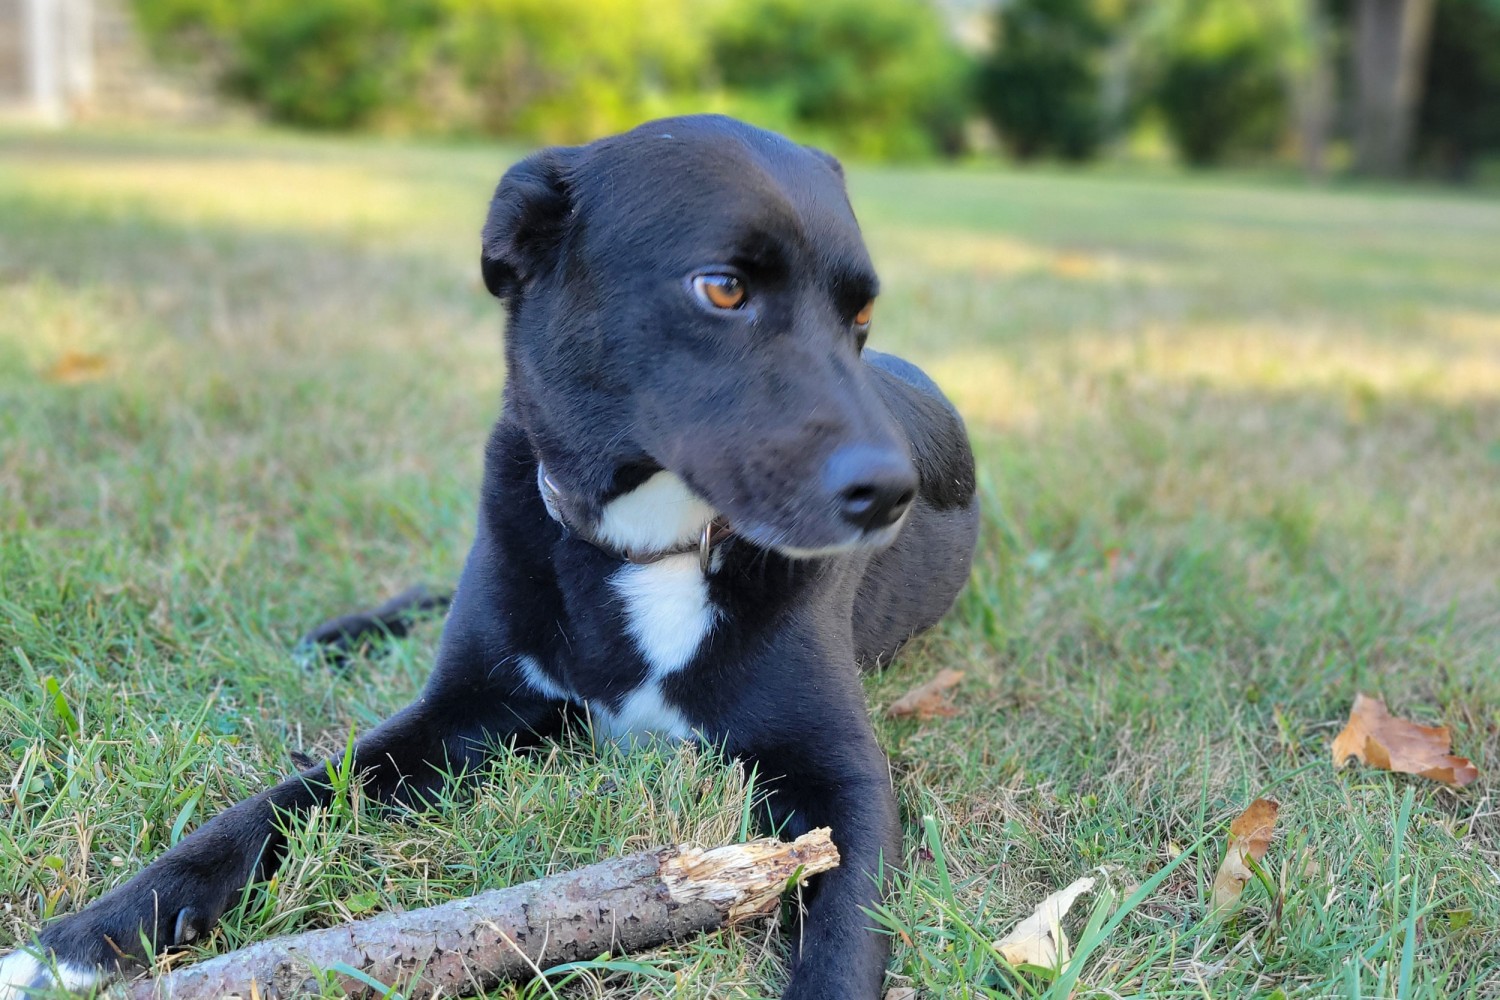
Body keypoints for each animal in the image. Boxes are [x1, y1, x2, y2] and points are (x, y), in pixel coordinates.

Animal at [0, 115, 978, 1000]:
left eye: (860, 313)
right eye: (724, 289)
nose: (893, 492)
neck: (647, 545)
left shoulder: (844, 780)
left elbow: (844, 934)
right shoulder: (462, 709)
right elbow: (282, 802)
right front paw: (92, 932)